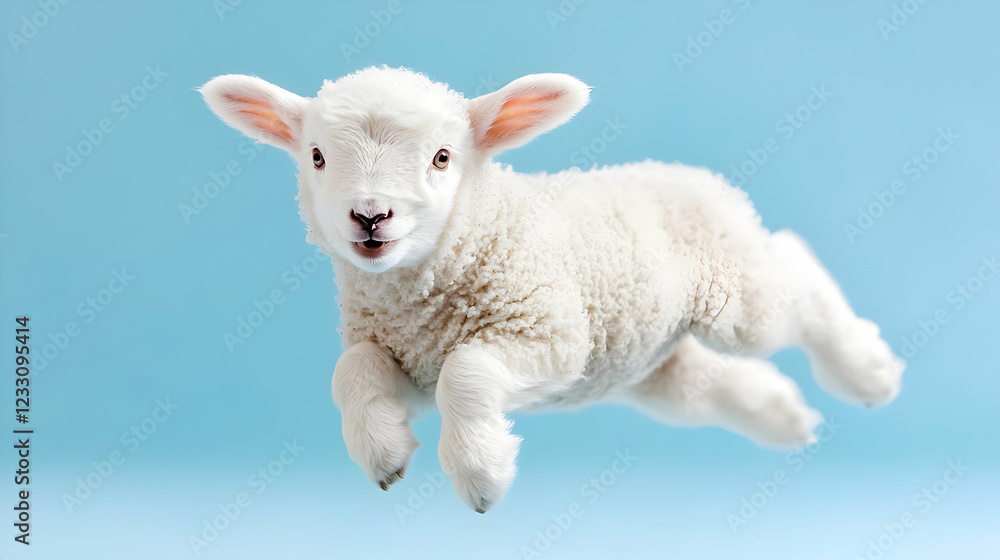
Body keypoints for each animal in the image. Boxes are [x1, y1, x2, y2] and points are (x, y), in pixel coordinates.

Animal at [201, 66, 903, 513]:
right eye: (317, 156)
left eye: (442, 158)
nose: (371, 217)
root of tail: (693, 174)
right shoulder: (405, 356)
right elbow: (352, 372)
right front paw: (383, 451)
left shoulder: (553, 336)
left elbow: (467, 373)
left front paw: (481, 473)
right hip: (648, 357)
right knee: (704, 380)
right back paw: (782, 413)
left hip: (731, 296)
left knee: (794, 271)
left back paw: (866, 370)